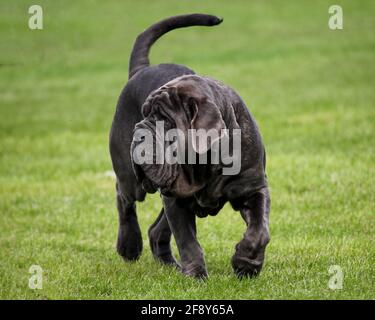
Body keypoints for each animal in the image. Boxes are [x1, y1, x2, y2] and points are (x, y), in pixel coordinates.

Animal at [108, 13, 270, 278]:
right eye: (144, 114)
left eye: (166, 122)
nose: (139, 131)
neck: (208, 162)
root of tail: (142, 69)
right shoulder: (176, 201)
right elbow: (187, 241)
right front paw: (196, 274)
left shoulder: (253, 188)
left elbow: (260, 231)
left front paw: (246, 263)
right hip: (132, 181)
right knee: (124, 197)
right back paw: (129, 245)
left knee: (156, 230)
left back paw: (169, 264)